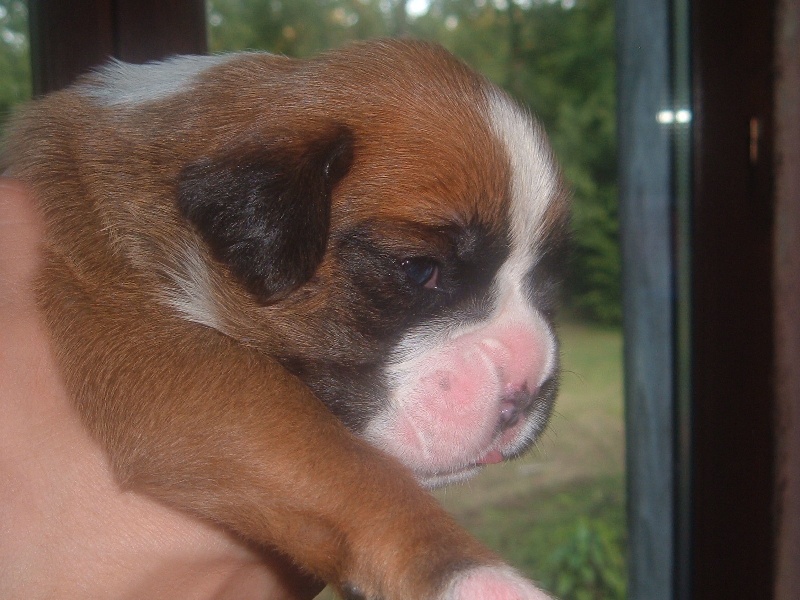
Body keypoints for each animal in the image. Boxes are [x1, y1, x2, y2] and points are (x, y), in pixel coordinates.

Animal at [2, 39, 568, 599]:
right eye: (420, 270)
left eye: (546, 280)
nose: (527, 384)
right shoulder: (177, 366)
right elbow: (350, 468)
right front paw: (473, 576)